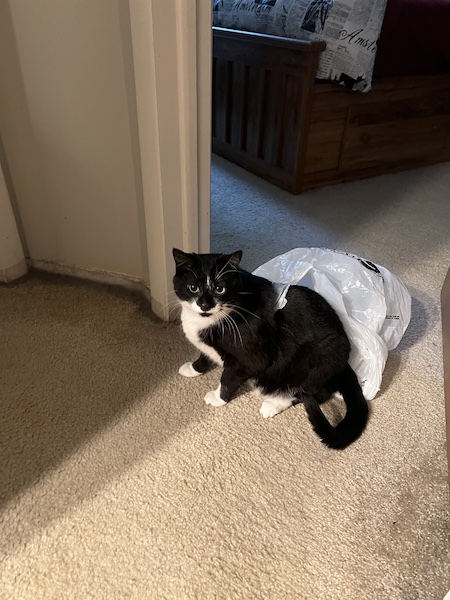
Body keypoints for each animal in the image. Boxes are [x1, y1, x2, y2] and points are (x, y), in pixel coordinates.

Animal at [172, 246, 370, 448]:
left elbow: (228, 379)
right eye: (193, 287)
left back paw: (274, 404)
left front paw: (217, 398)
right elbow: (204, 355)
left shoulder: (250, 358)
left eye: (220, 289)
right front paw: (193, 368)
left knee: (314, 393)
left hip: (312, 362)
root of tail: (345, 359)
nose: (205, 305)